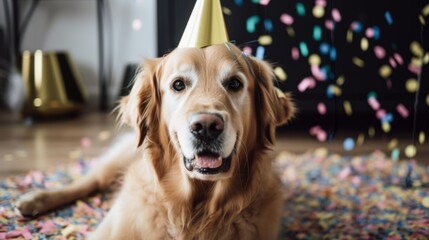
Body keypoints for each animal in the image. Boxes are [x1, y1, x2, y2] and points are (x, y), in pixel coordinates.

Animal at [14, 43, 294, 240]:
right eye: (178, 85)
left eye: (234, 83)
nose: (206, 127)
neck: (195, 210)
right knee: (90, 181)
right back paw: (34, 199)